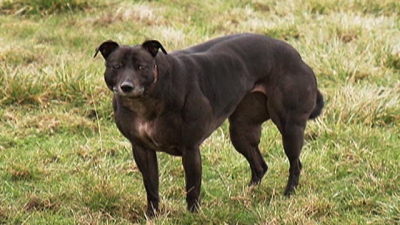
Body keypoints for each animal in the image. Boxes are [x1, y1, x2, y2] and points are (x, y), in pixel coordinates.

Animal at [95, 33, 324, 214]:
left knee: (295, 164)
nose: (126, 86)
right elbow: (151, 187)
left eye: (141, 67)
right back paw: (248, 193)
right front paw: (151, 216)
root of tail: (298, 56)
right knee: (259, 165)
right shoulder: (142, 149)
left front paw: (192, 215)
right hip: (241, 132)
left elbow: (192, 187)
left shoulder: (190, 149)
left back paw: (288, 194)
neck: (147, 100)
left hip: (290, 128)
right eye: (116, 67)